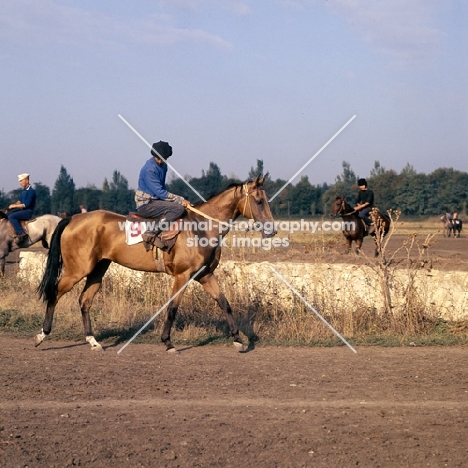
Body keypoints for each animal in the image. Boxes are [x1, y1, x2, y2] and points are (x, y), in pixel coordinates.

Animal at [37, 176, 278, 352]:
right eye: (259, 201)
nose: (272, 230)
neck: (200, 228)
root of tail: (72, 218)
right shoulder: (182, 276)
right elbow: (172, 307)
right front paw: (168, 342)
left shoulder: (205, 275)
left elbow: (224, 303)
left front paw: (238, 339)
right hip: (77, 270)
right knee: (55, 293)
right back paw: (42, 334)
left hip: (98, 269)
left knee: (85, 301)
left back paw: (92, 341)